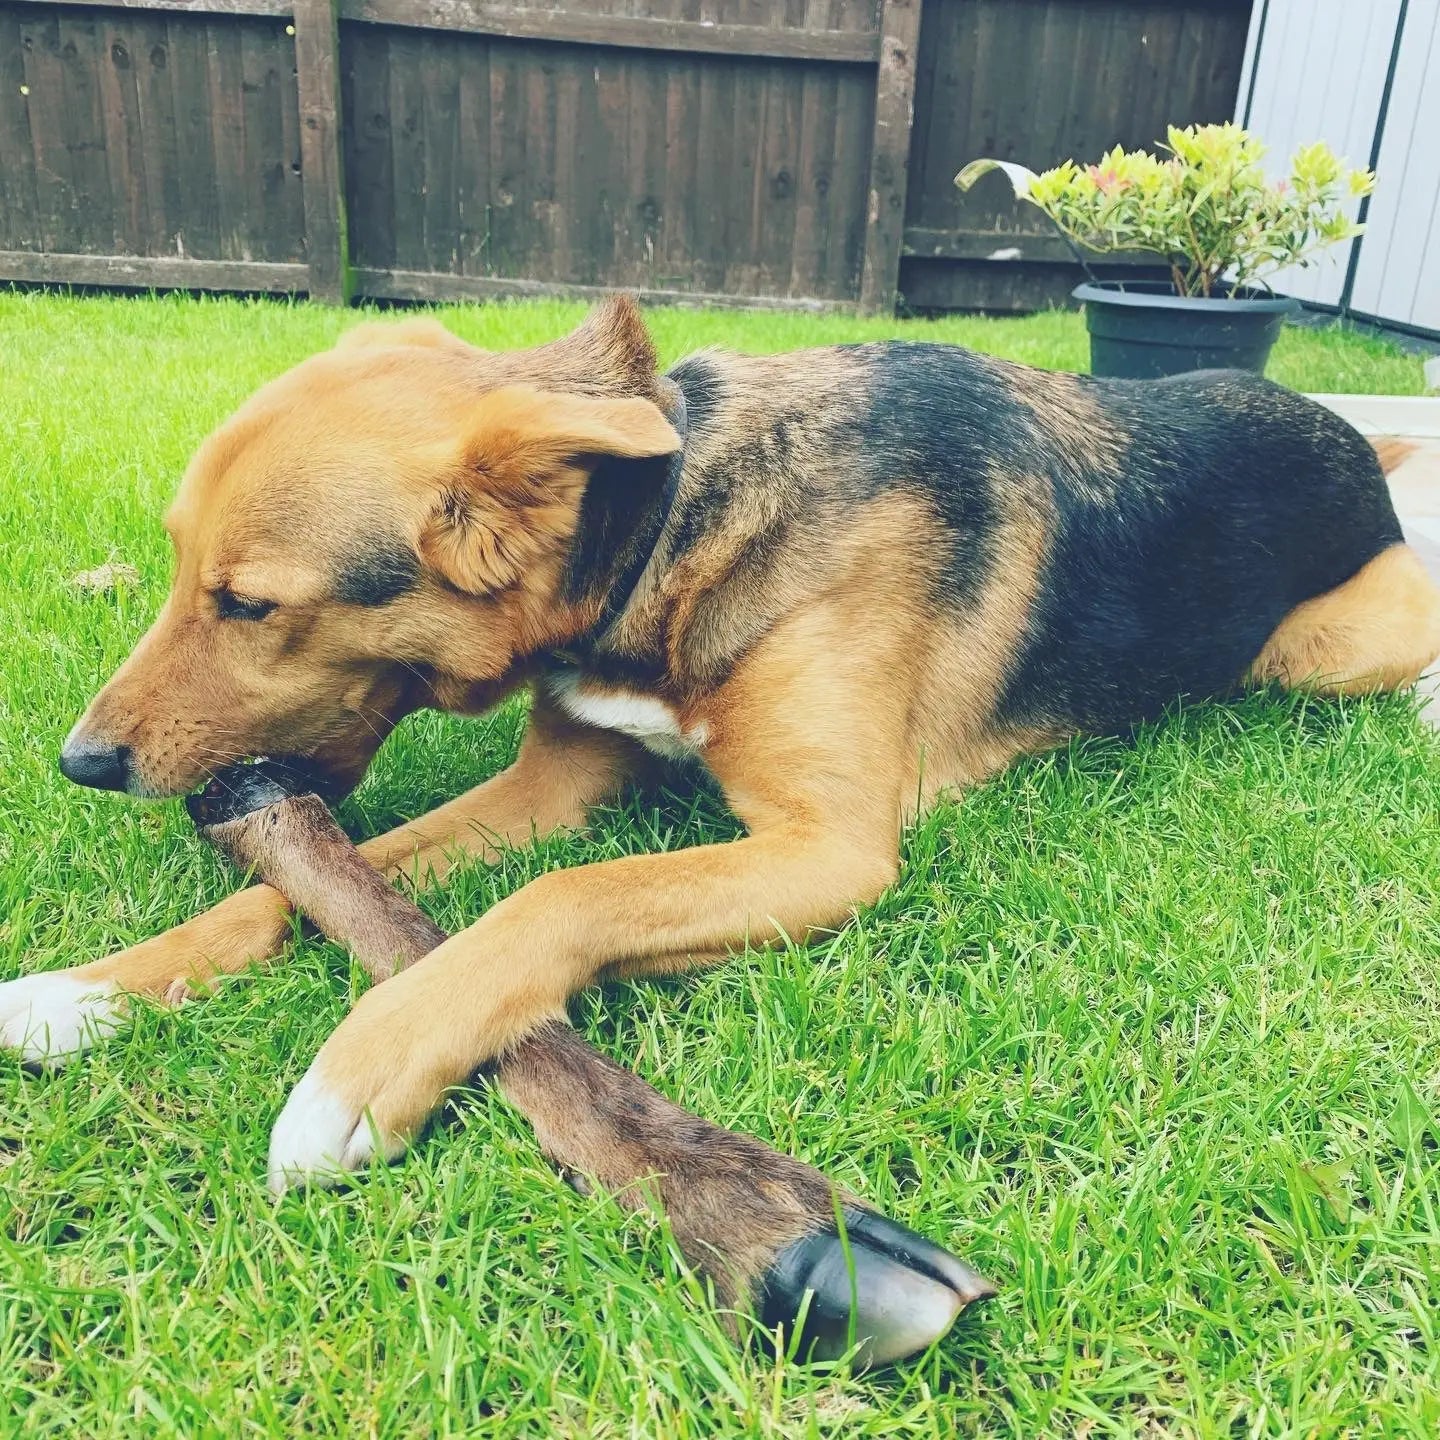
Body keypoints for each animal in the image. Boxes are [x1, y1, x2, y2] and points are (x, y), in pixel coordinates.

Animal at [2, 295, 1440, 1215]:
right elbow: (304, 885)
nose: (79, 763)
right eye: (178, 565)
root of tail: (1337, 423)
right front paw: (89, 990)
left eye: (248, 603)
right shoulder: (554, 782)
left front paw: (359, 1068)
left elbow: (554, 899)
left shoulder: (826, 848)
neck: (666, 527)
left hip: (1320, 646)